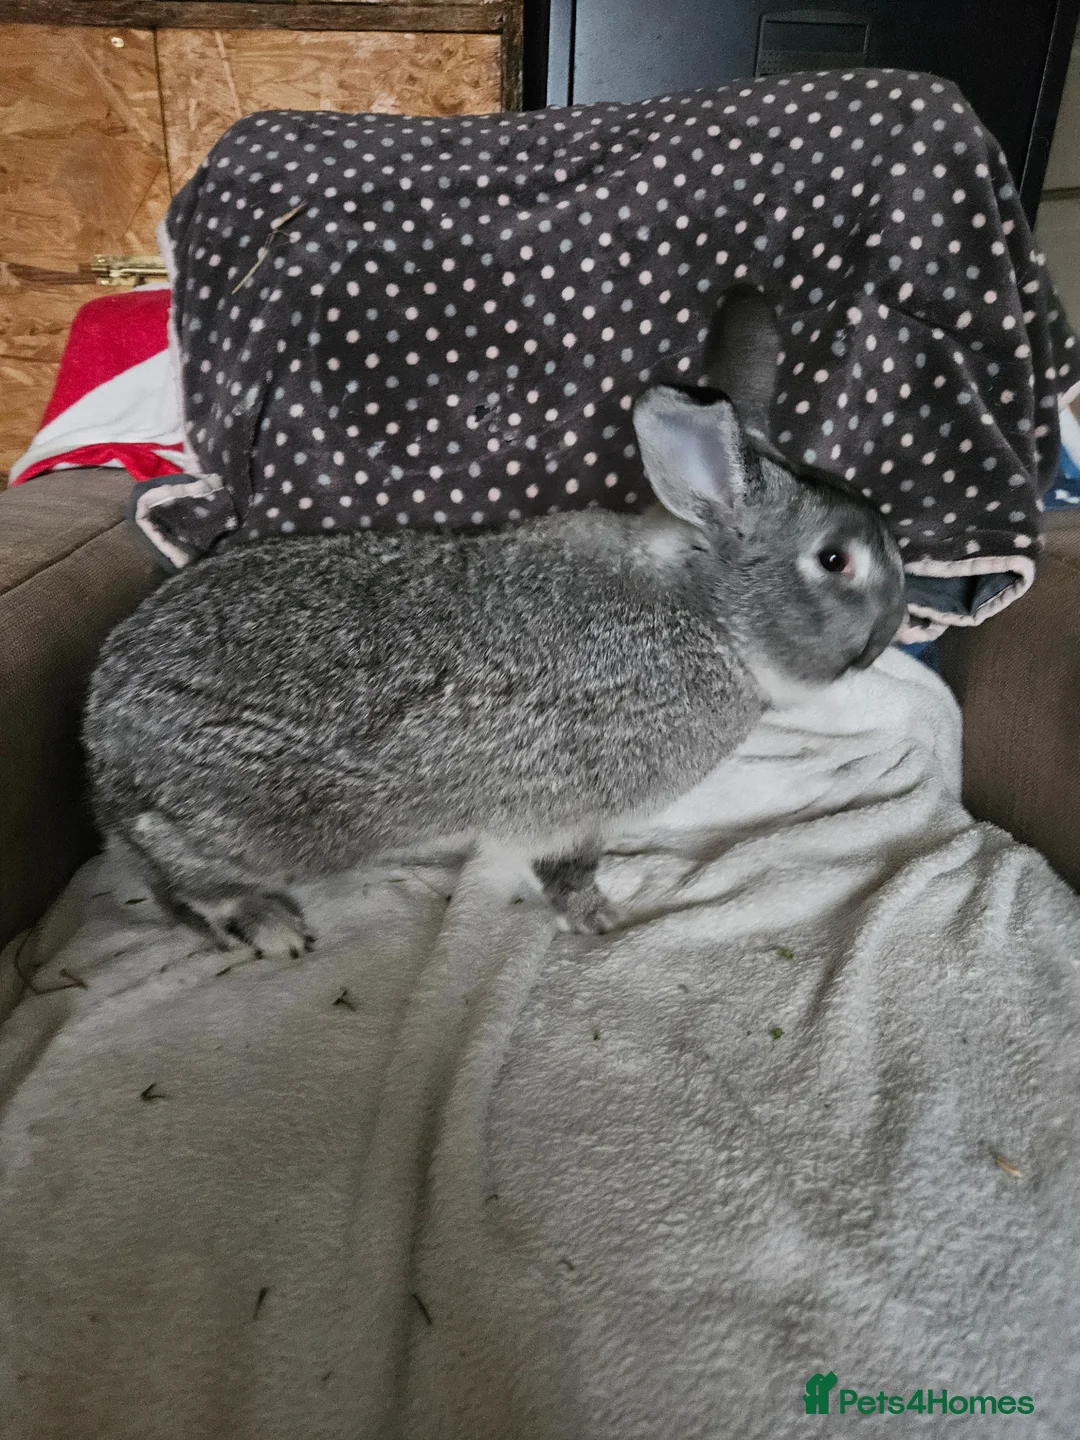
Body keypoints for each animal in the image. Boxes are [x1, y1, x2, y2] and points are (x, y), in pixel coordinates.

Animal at [83, 286, 907, 957]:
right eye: (836, 561)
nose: (889, 632)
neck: (708, 615)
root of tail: (101, 750)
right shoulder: (578, 808)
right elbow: (567, 869)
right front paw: (598, 919)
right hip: (260, 827)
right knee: (181, 872)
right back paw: (267, 924)